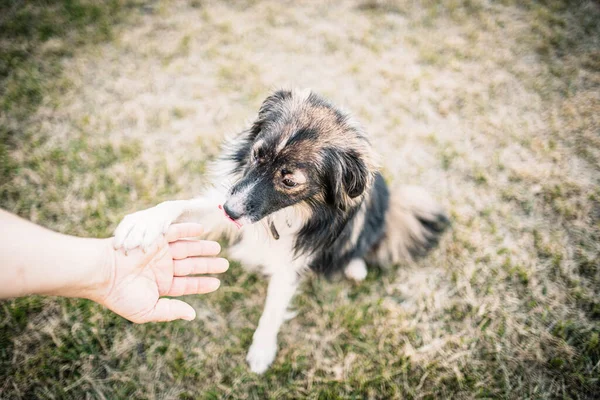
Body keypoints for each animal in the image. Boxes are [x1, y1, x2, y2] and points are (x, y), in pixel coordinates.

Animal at [115, 89, 448, 374]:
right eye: (257, 153)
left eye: (289, 181)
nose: (230, 211)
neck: (284, 214)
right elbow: (182, 206)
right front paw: (144, 223)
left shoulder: (290, 262)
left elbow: (273, 309)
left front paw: (262, 350)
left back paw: (355, 267)